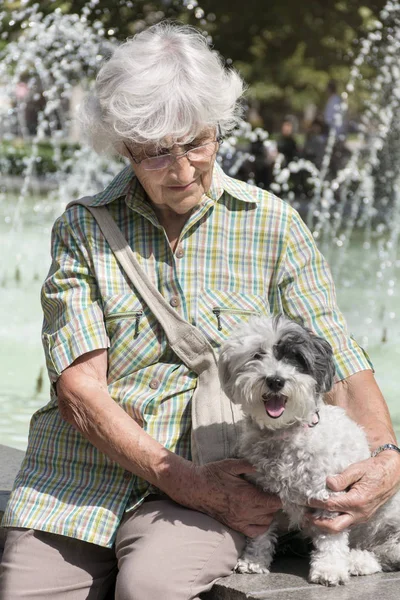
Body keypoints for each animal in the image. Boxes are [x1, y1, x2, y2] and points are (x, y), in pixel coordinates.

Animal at [217, 316, 400, 584]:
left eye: (295, 358)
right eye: (257, 354)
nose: (275, 380)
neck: (285, 434)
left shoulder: (328, 496)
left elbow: (331, 538)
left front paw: (330, 569)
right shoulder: (259, 496)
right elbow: (260, 531)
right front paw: (254, 560)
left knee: (389, 554)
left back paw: (356, 561)